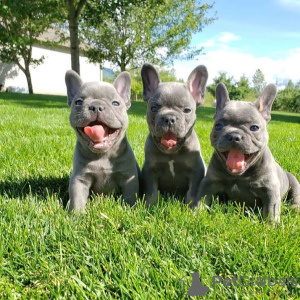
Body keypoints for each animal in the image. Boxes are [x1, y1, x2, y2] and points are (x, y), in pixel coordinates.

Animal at [65, 69, 139, 211]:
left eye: (115, 103)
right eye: (78, 102)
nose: (96, 106)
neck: (103, 155)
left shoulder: (128, 177)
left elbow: (130, 195)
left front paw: (131, 209)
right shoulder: (79, 179)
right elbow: (77, 198)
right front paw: (76, 214)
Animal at [141, 62, 209, 205]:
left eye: (187, 110)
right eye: (153, 108)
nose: (169, 118)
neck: (172, 153)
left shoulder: (196, 171)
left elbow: (193, 192)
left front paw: (192, 207)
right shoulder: (150, 170)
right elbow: (152, 191)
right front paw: (150, 206)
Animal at [197, 83, 300, 221]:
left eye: (254, 128)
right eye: (218, 126)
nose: (234, 136)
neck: (239, 175)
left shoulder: (270, 190)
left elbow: (271, 209)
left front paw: (271, 224)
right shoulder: (209, 183)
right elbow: (200, 200)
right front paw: (195, 214)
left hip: (293, 181)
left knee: (295, 196)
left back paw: (294, 208)